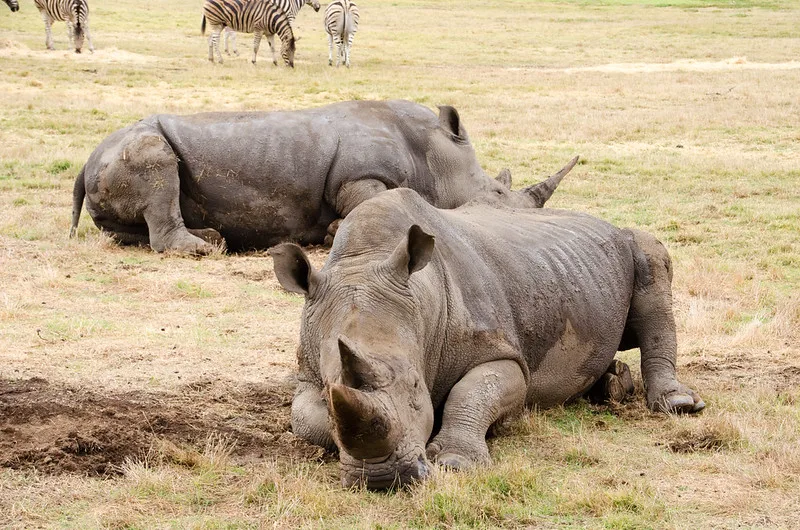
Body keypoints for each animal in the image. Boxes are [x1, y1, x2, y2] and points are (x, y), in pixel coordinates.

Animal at [67, 101, 568, 254]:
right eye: (497, 192)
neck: (434, 153)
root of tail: (85, 160)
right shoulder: (359, 175)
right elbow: (378, 199)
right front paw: (332, 234)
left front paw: (329, 233)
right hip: (134, 147)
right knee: (157, 162)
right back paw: (204, 249)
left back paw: (211, 238)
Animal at [272, 189, 704, 486]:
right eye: (329, 391)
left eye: (417, 390)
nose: (381, 479)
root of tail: (604, 222)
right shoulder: (309, 369)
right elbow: (306, 420)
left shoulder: (502, 353)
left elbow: (473, 392)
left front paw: (454, 463)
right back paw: (612, 385)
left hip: (631, 243)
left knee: (652, 266)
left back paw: (678, 404)